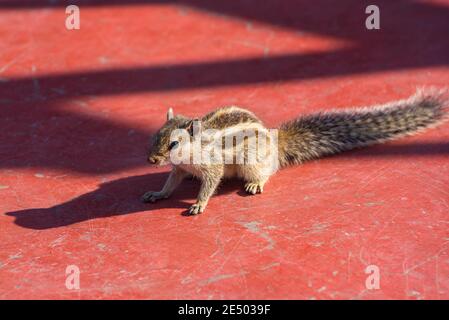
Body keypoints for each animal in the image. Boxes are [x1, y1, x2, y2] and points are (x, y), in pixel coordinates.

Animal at [144, 88, 448, 215]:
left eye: (174, 144)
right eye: (156, 136)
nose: (151, 159)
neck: (192, 153)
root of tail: (274, 143)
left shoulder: (213, 166)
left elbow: (210, 184)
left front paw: (199, 203)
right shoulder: (178, 169)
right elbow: (170, 183)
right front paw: (157, 193)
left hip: (251, 162)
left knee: (265, 173)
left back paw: (256, 183)